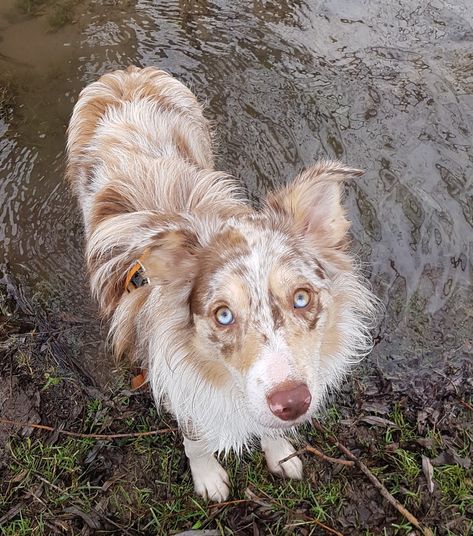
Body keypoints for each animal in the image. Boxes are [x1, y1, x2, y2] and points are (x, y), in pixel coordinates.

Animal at [66, 67, 376, 502]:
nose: (292, 403)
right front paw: (208, 477)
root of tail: (127, 74)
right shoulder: (185, 387)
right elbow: (196, 441)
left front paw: (279, 453)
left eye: (301, 297)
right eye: (223, 315)